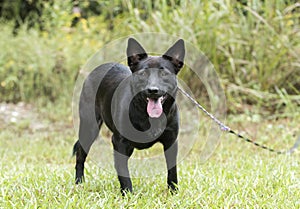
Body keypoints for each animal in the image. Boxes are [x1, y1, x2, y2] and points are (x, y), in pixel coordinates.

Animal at [73, 37, 185, 194]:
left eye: (164, 74)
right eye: (143, 74)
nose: (153, 90)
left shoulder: (171, 141)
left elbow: (172, 171)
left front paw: (173, 192)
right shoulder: (119, 142)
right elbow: (123, 172)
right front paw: (128, 193)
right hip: (89, 128)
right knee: (80, 156)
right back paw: (79, 183)